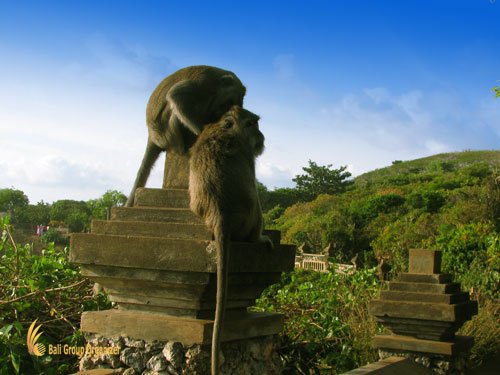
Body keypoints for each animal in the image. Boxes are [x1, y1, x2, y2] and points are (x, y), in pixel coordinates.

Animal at [126, 66, 247, 207]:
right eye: (227, 103)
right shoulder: (204, 84)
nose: (223, 110)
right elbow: (176, 95)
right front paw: (201, 132)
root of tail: (152, 136)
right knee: (176, 109)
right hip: (168, 135)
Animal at [188, 105, 274, 375]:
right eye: (253, 124)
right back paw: (260, 238)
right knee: (255, 202)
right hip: (248, 220)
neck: (223, 127)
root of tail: (219, 213)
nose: (262, 136)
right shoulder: (247, 153)